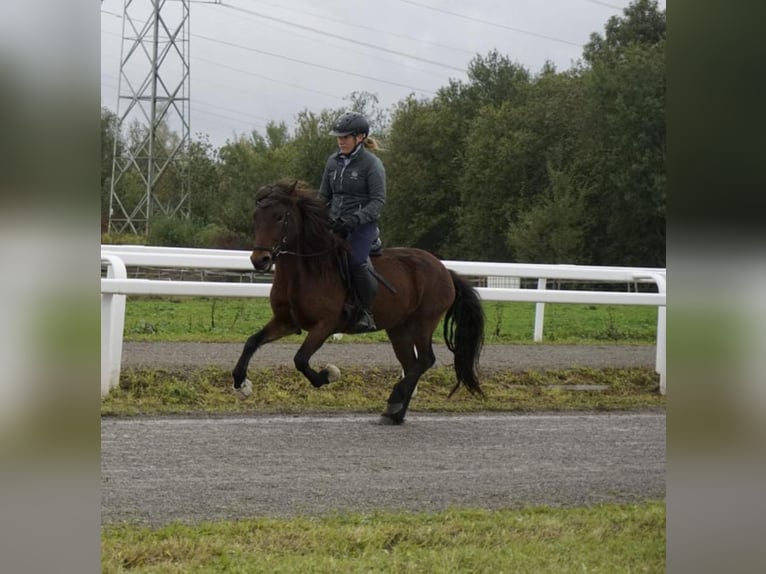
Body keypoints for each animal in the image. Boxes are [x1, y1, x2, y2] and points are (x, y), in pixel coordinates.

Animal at [231, 180, 485, 424]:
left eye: (280, 216)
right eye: (256, 216)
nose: (260, 260)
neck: (306, 272)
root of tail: (444, 270)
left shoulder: (325, 325)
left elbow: (300, 359)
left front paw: (327, 375)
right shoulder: (285, 322)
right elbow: (252, 342)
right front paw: (241, 384)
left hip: (423, 323)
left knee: (425, 360)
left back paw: (394, 400)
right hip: (399, 329)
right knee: (411, 364)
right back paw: (394, 413)